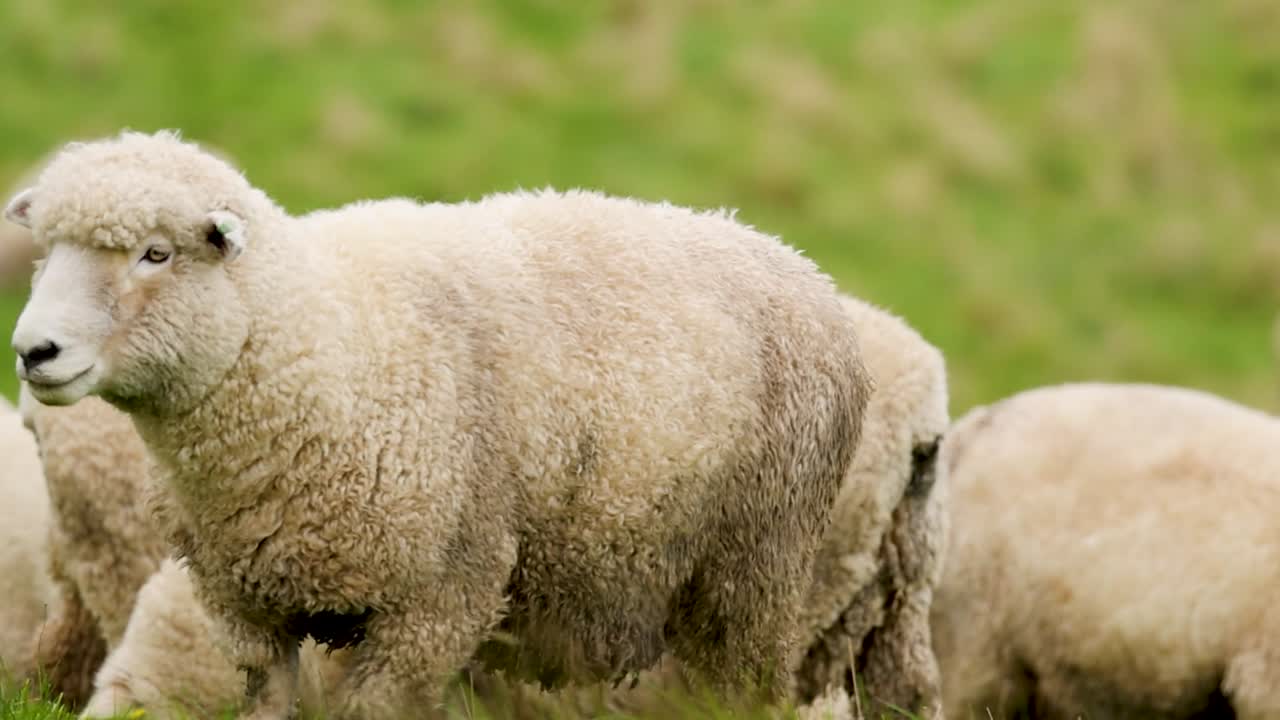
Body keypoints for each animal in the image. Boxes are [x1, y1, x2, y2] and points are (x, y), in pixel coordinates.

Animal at [6, 129, 871, 719]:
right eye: (44, 251)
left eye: (155, 254)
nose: (33, 351)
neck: (320, 350)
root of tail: (795, 261)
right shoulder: (248, 610)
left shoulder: (435, 600)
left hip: (755, 565)